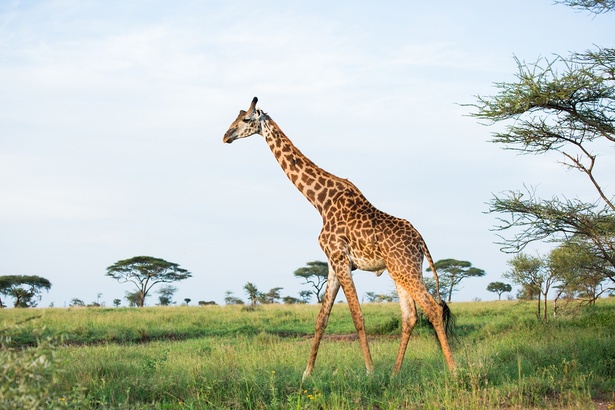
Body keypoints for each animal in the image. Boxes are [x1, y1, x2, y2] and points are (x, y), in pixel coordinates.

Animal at [223, 97, 458, 378]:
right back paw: (394, 373)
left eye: (246, 119)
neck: (320, 202)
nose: (226, 136)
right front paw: (307, 374)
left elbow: (357, 316)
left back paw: (454, 371)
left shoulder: (340, 259)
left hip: (405, 269)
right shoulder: (332, 264)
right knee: (410, 315)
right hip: (401, 271)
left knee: (432, 308)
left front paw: (369, 371)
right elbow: (321, 319)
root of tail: (421, 242)